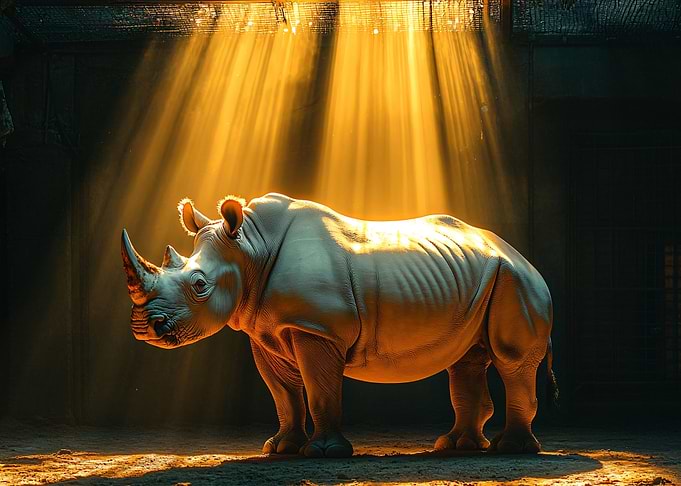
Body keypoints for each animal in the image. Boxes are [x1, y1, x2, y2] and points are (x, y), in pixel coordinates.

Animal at [121, 193, 556, 458]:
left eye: (199, 285)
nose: (143, 328)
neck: (251, 250)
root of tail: (520, 255)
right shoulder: (266, 330)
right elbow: (284, 395)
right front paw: (281, 448)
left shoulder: (316, 328)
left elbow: (319, 390)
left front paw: (323, 453)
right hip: (484, 278)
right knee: (466, 360)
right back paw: (456, 446)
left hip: (515, 280)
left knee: (512, 361)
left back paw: (511, 449)